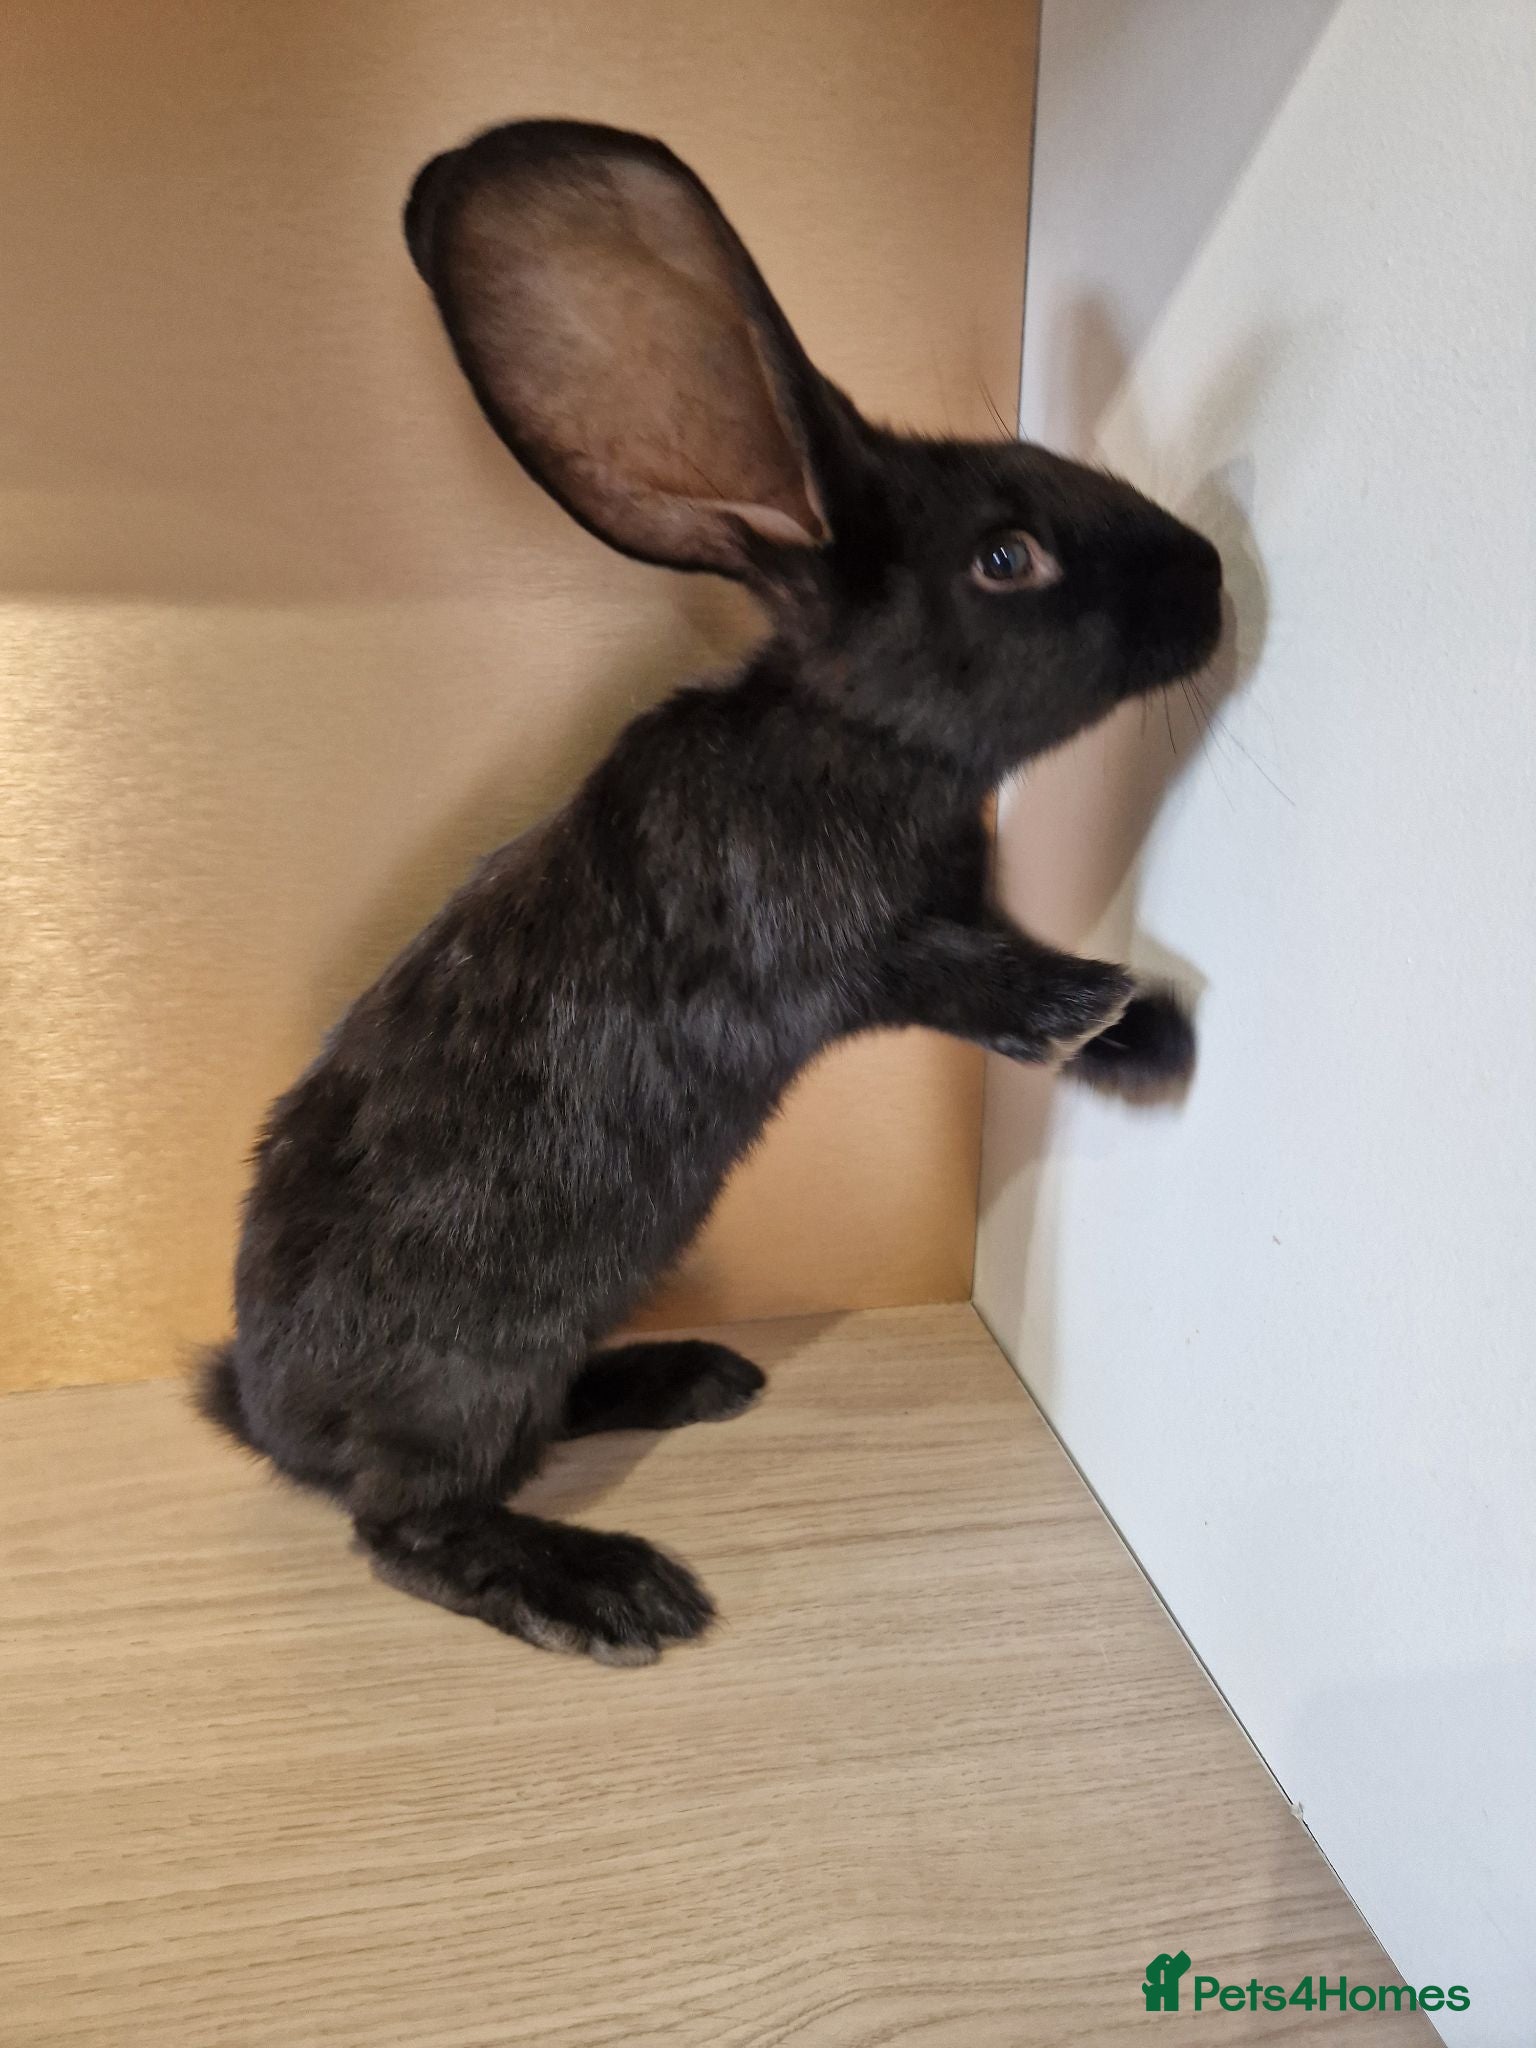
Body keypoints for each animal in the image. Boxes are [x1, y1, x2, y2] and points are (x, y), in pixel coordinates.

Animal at [198, 118, 1223, 1664]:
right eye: (1006, 557)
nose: (1215, 578)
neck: (860, 737)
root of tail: (267, 1415)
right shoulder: (827, 943)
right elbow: (960, 978)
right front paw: (1093, 1006)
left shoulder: (958, 906)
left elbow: (1002, 955)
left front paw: (1152, 1039)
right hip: (463, 1372)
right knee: (404, 1525)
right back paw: (610, 1587)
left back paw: (688, 1378)